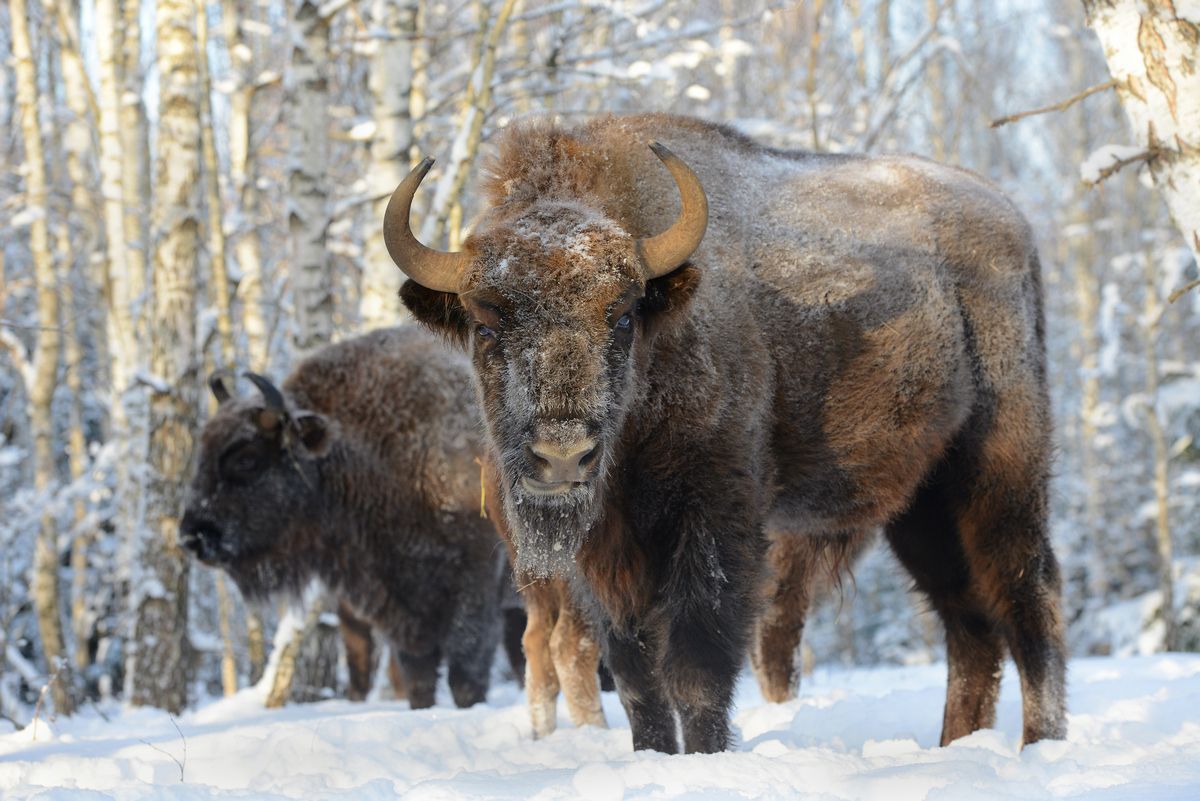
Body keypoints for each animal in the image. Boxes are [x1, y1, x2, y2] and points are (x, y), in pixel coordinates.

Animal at [180, 326, 518, 705]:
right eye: (202, 454)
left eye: (247, 459)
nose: (192, 536)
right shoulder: (404, 617)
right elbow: (418, 683)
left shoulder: (475, 593)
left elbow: (465, 678)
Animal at [381, 115, 1060, 753]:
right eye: (486, 324)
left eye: (622, 316)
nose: (563, 455)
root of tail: (1013, 223)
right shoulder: (607, 554)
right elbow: (636, 677)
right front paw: (654, 758)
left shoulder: (714, 520)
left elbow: (696, 666)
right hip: (920, 504)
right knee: (967, 618)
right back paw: (958, 743)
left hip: (998, 470)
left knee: (1028, 593)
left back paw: (1039, 743)